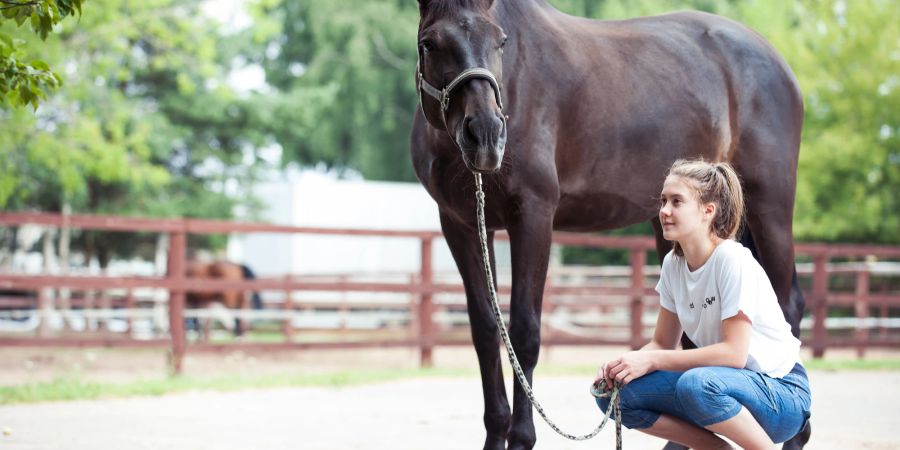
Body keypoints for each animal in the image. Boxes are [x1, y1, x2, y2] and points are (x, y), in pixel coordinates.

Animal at [412, 0, 812, 450]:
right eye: (430, 44)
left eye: (500, 41)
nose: (485, 135)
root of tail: (776, 61)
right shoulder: (460, 224)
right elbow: (484, 330)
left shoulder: (532, 216)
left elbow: (524, 332)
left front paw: (522, 437)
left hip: (770, 205)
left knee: (787, 305)